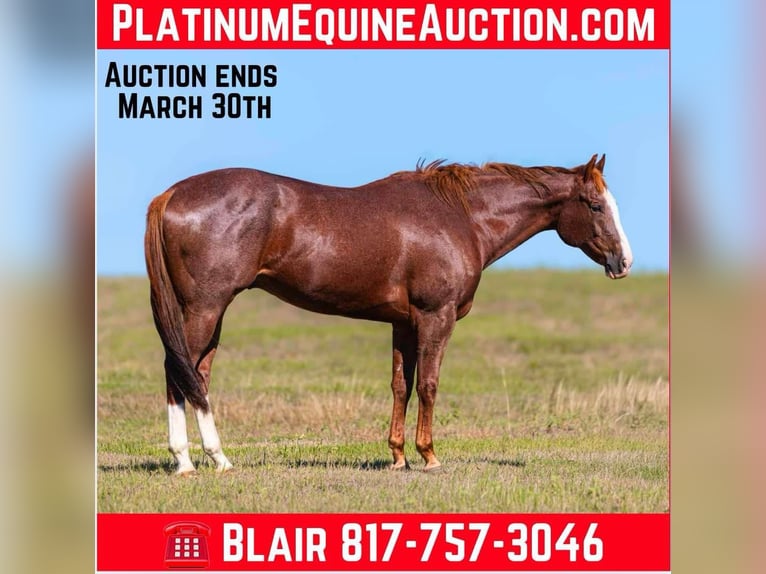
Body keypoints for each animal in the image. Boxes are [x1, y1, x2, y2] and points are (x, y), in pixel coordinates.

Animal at [144, 153, 632, 474]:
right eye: (595, 205)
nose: (623, 262)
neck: (460, 217)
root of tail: (170, 194)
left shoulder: (404, 323)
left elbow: (401, 385)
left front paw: (398, 456)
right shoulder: (436, 317)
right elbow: (430, 385)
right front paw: (429, 456)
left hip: (209, 313)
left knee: (196, 375)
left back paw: (208, 457)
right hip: (205, 309)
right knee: (177, 373)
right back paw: (192, 461)